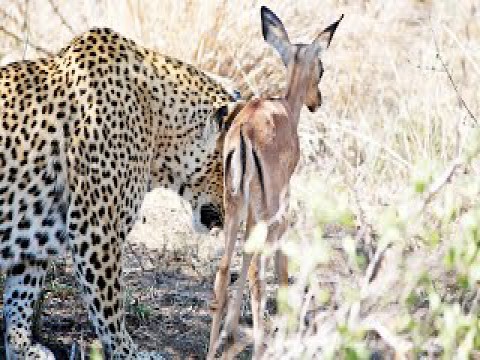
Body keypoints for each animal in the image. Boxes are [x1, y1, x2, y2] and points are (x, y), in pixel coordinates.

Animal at [0, 26, 240, 358]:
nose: (235, 214)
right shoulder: (96, 228)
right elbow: (109, 307)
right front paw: (130, 352)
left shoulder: (36, 227)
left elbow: (22, 291)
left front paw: (21, 346)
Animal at [208, 6, 344, 360]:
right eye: (322, 68)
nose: (317, 100)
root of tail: (244, 132)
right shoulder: (281, 208)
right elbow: (280, 263)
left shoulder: (249, 211)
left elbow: (243, 257)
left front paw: (229, 332)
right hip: (265, 209)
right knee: (258, 272)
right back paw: (258, 347)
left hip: (235, 205)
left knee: (224, 269)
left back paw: (213, 349)